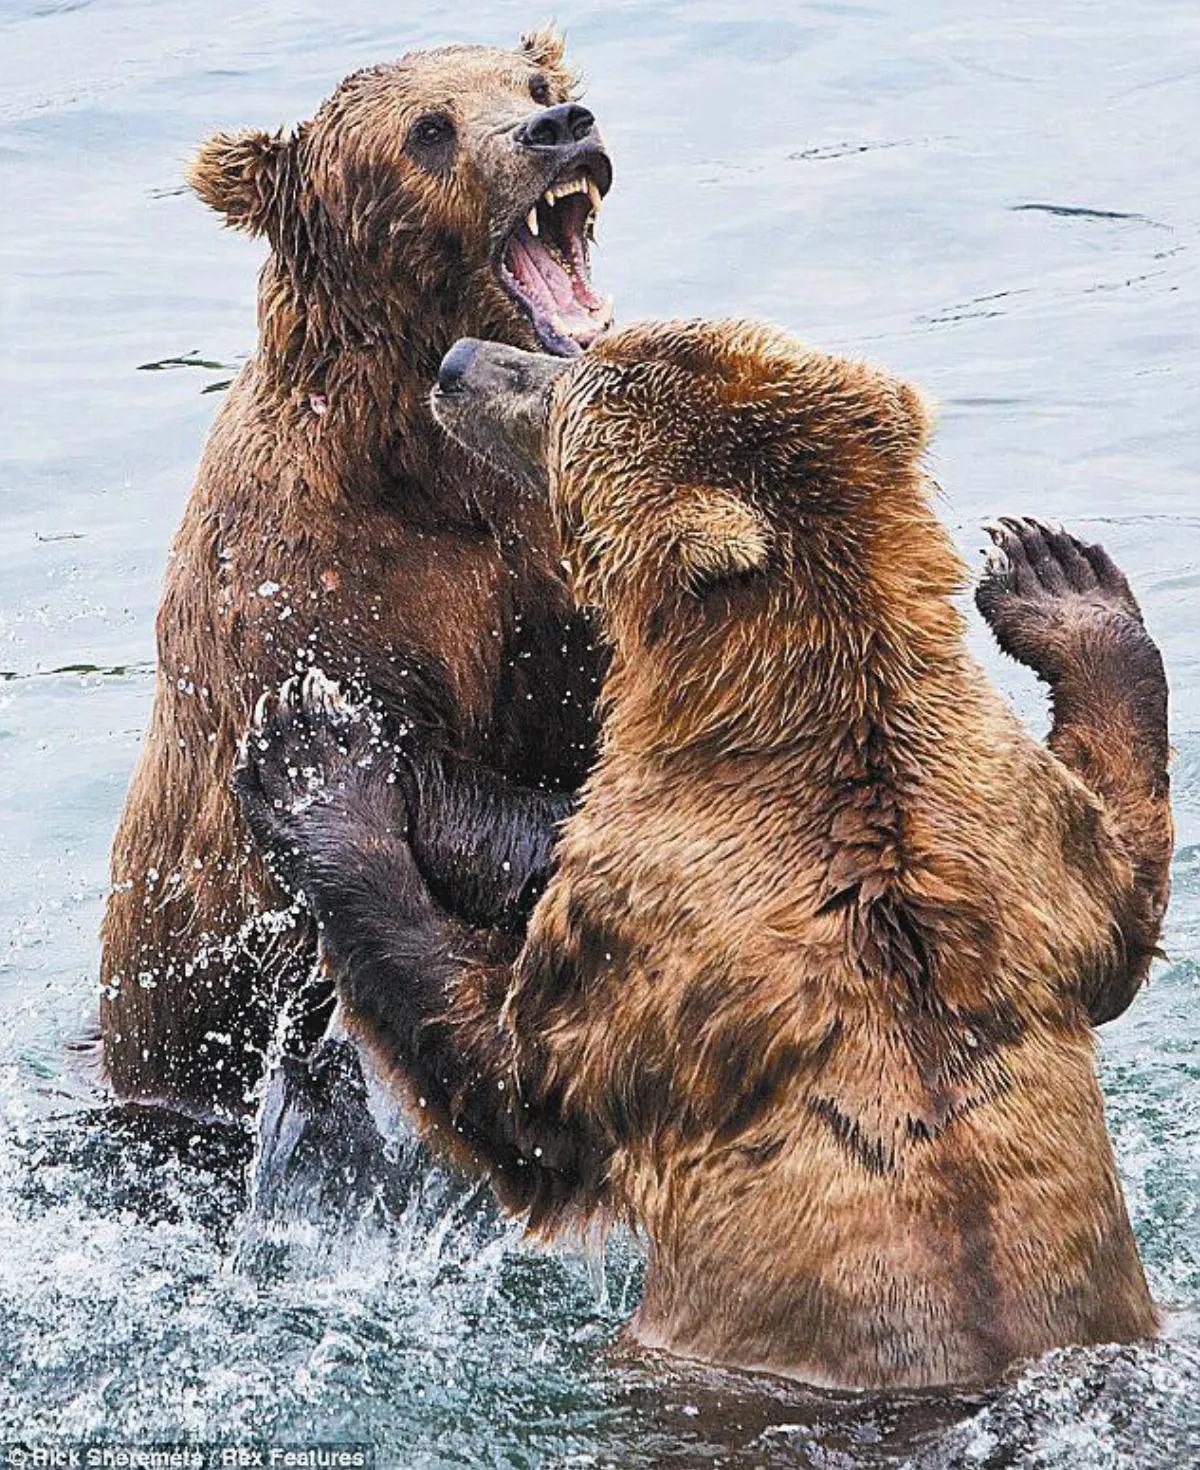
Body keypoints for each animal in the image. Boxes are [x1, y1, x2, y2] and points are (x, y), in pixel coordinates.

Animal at [99, 29, 615, 1118]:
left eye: (533, 84)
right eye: (429, 128)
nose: (559, 129)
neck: (425, 468)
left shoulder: (546, 553)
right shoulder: (310, 589)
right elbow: (403, 764)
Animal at [232, 319, 1173, 1389]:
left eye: (564, 399)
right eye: (582, 357)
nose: (460, 361)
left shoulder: (652, 935)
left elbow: (517, 1087)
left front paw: (319, 756)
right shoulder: (1019, 846)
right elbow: (1121, 888)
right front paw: (1060, 576)